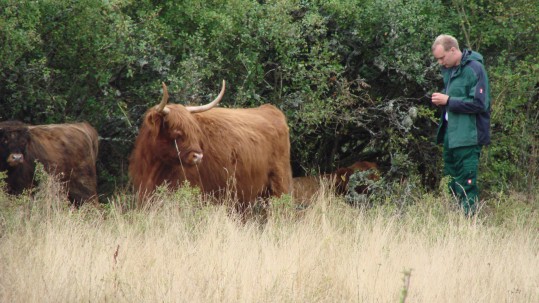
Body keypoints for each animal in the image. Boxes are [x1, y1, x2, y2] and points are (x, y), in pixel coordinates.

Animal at [129, 81, 294, 211]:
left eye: (195, 131)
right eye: (177, 133)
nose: (198, 156)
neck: (153, 168)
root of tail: (270, 109)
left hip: (279, 183)